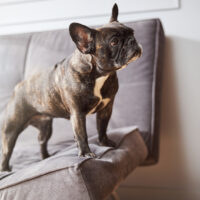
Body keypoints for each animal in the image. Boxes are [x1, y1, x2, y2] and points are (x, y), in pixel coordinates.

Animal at [0, 3, 141, 171]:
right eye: (114, 42)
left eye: (132, 33)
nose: (133, 41)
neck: (98, 74)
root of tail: (17, 88)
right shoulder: (77, 114)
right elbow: (81, 135)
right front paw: (86, 154)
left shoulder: (107, 108)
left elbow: (102, 127)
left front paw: (105, 143)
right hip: (11, 130)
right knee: (6, 152)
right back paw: (6, 170)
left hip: (46, 127)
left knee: (42, 141)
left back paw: (46, 157)